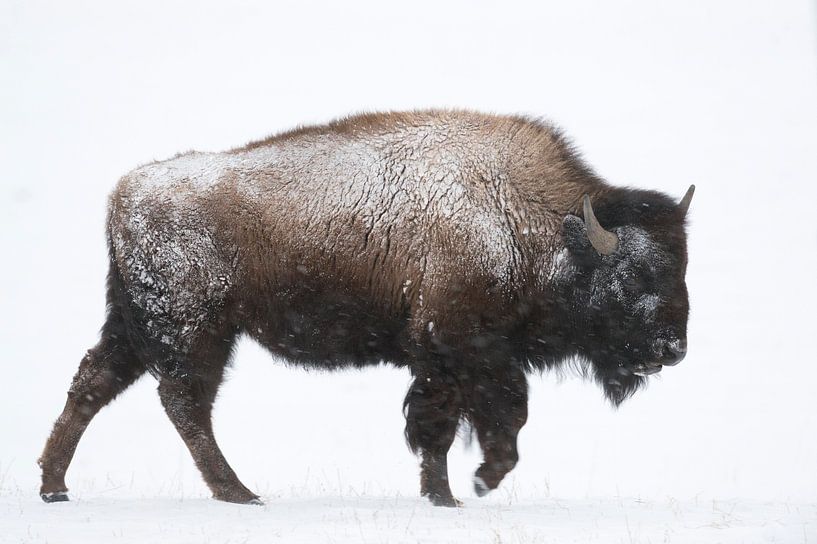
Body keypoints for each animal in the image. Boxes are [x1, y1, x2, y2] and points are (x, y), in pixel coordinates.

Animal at [36, 109, 688, 506]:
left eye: (681, 270)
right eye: (635, 276)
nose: (673, 349)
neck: (536, 227)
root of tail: (125, 192)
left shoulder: (450, 360)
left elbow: (448, 427)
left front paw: (446, 495)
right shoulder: (461, 350)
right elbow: (484, 420)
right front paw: (474, 486)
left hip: (137, 325)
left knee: (95, 384)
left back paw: (54, 486)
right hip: (195, 330)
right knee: (184, 402)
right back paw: (238, 493)